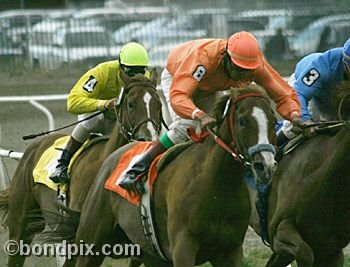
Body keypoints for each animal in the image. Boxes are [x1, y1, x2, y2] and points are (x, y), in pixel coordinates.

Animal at [64, 85, 278, 267]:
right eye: (242, 121)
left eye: (274, 121)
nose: (265, 165)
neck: (217, 185)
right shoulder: (183, 248)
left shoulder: (230, 251)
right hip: (91, 241)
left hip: (150, 255)